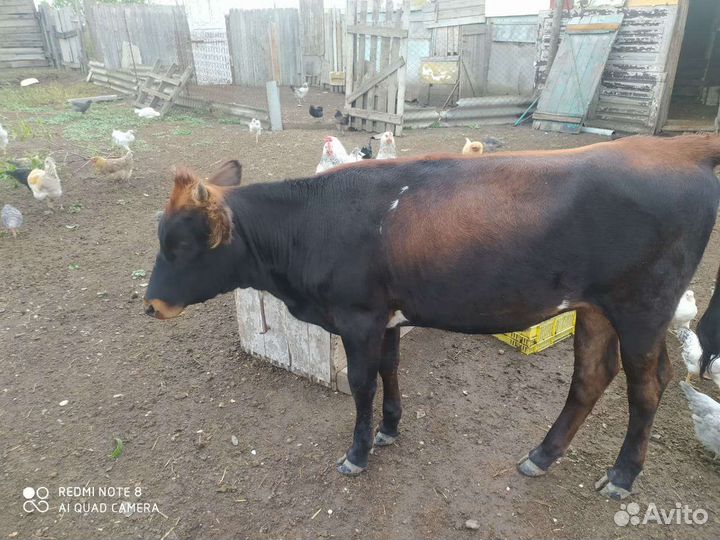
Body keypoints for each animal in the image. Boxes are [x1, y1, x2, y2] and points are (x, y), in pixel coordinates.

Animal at [144, 135, 720, 500]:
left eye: (180, 246)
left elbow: (362, 383)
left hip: (643, 308)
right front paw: (389, 429)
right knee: (591, 376)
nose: (150, 305)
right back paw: (542, 454)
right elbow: (390, 370)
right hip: (595, 308)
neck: (312, 225)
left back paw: (622, 476)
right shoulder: (388, 317)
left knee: (648, 386)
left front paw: (357, 452)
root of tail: (674, 146)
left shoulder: (358, 316)